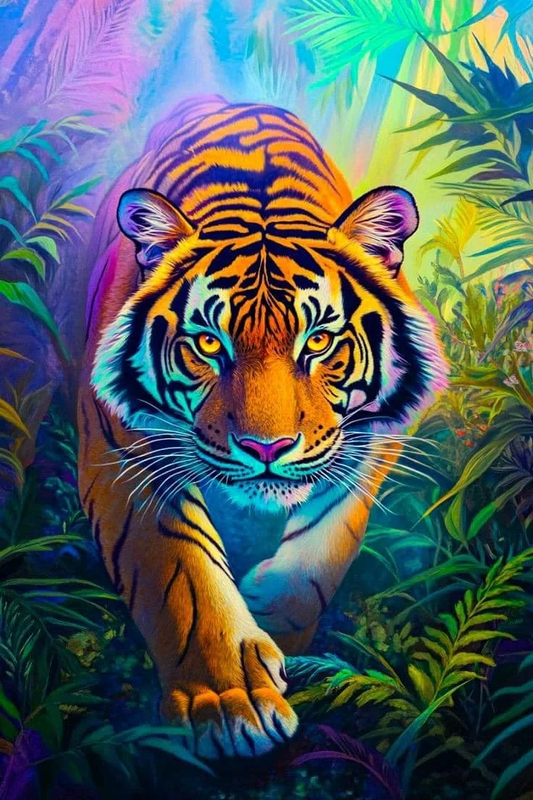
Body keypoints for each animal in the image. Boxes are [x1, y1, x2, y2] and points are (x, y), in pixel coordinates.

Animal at [78, 94, 447, 760]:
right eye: (208, 343)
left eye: (319, 341)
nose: (266, 447)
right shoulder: (121, 453)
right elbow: (183, 576)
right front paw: (231, 702)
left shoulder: (372, 442)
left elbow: (325, 548)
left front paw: (281, 632)